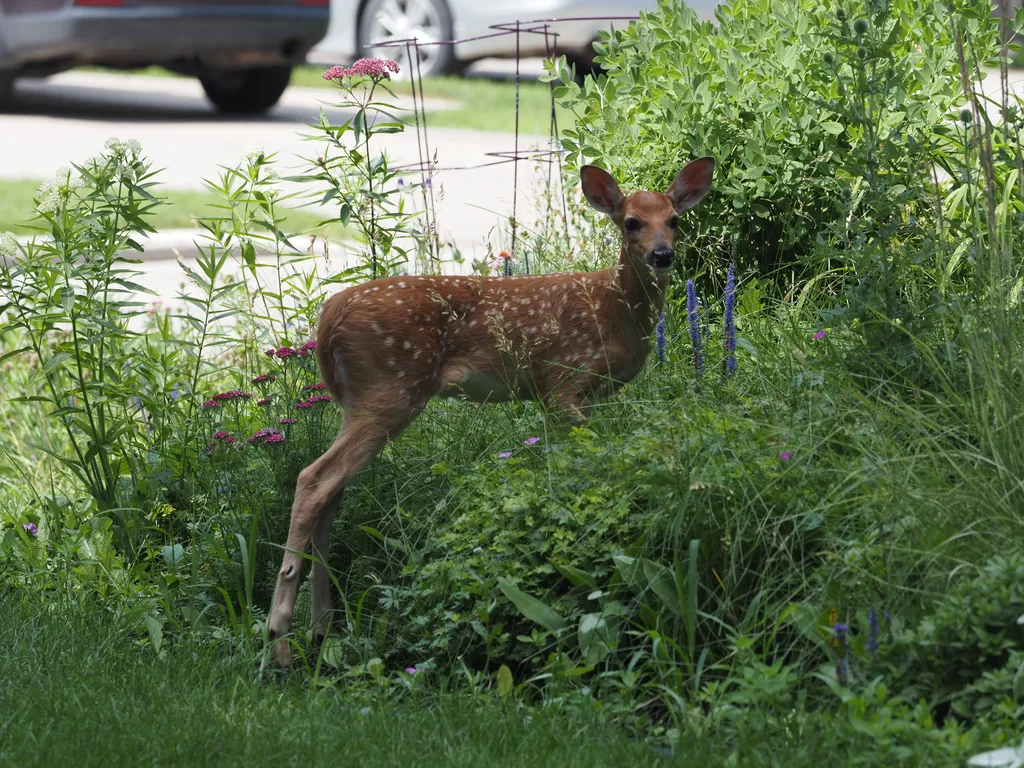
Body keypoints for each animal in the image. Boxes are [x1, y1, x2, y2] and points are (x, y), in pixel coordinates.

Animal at [267, 157, 715, 666]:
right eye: (631, 222)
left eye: (674, 220)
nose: (662, 255)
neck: (611, 309)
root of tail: (329, 318)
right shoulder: (563, 382)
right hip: (391, 387)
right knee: (314, 479)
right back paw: (279, 639)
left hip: (359, 399)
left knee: (332, 490)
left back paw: (319, 630)